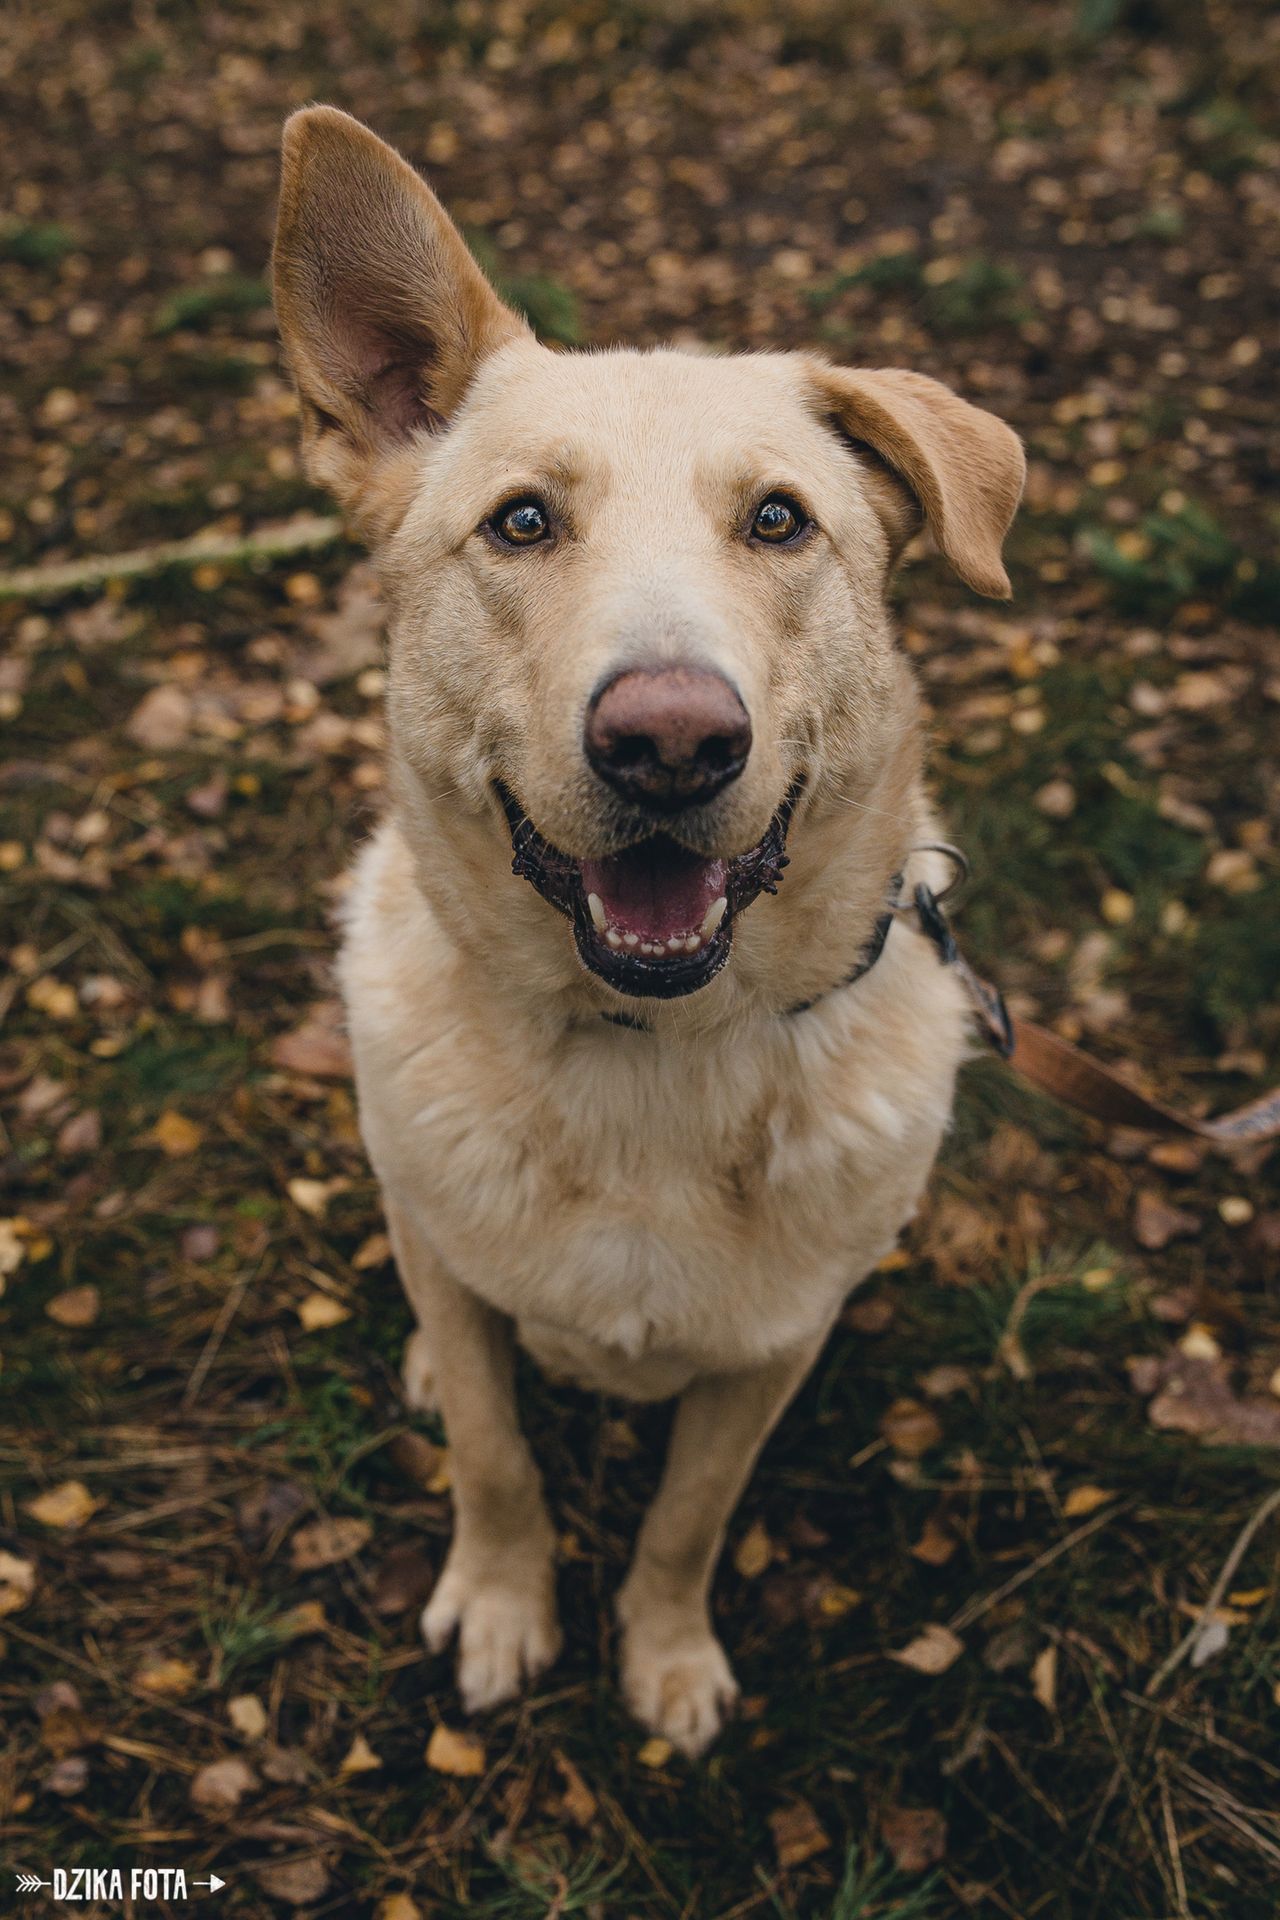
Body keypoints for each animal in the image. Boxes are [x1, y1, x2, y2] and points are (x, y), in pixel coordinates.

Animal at [272, 101, 1028, 1758]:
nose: (672, 743)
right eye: (521, 522)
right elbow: (496, 1457)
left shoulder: (768, 1358)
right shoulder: (468, 1305)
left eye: (779, 520)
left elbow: (689, 1517)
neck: (649, 1053)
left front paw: (666, 1661)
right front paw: (503, 1608)